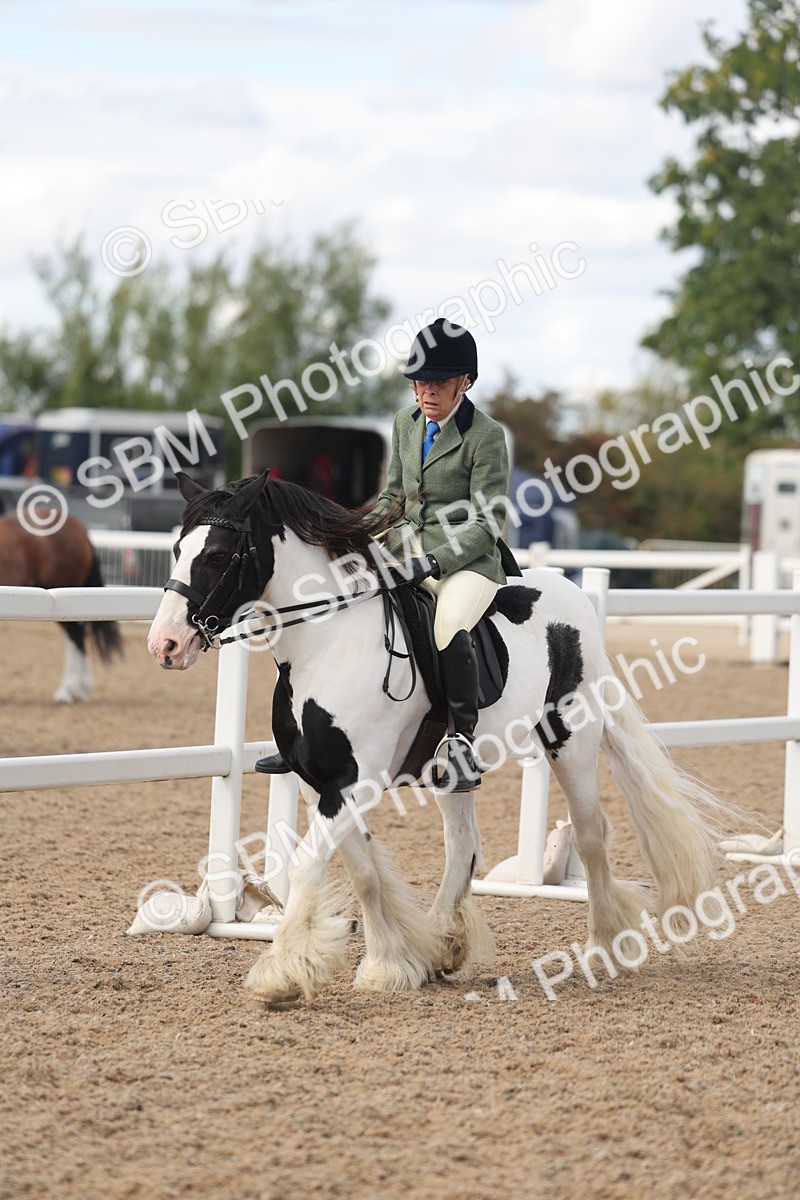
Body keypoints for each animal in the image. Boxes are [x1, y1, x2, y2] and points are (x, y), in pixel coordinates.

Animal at [148, 470, 737, 1003]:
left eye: (217, 555)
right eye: (176, 549)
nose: (165, 645)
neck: (327, 641)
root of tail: (573, 596)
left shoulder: (353, 783)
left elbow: (308, 863)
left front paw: (282, 975)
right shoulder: (325, 783)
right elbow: (363, 873)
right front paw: (390, 965)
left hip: (571, 741)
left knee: (591, 834)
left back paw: (603, 947)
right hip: (453, 770)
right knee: (463, 846)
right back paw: (447, 944)